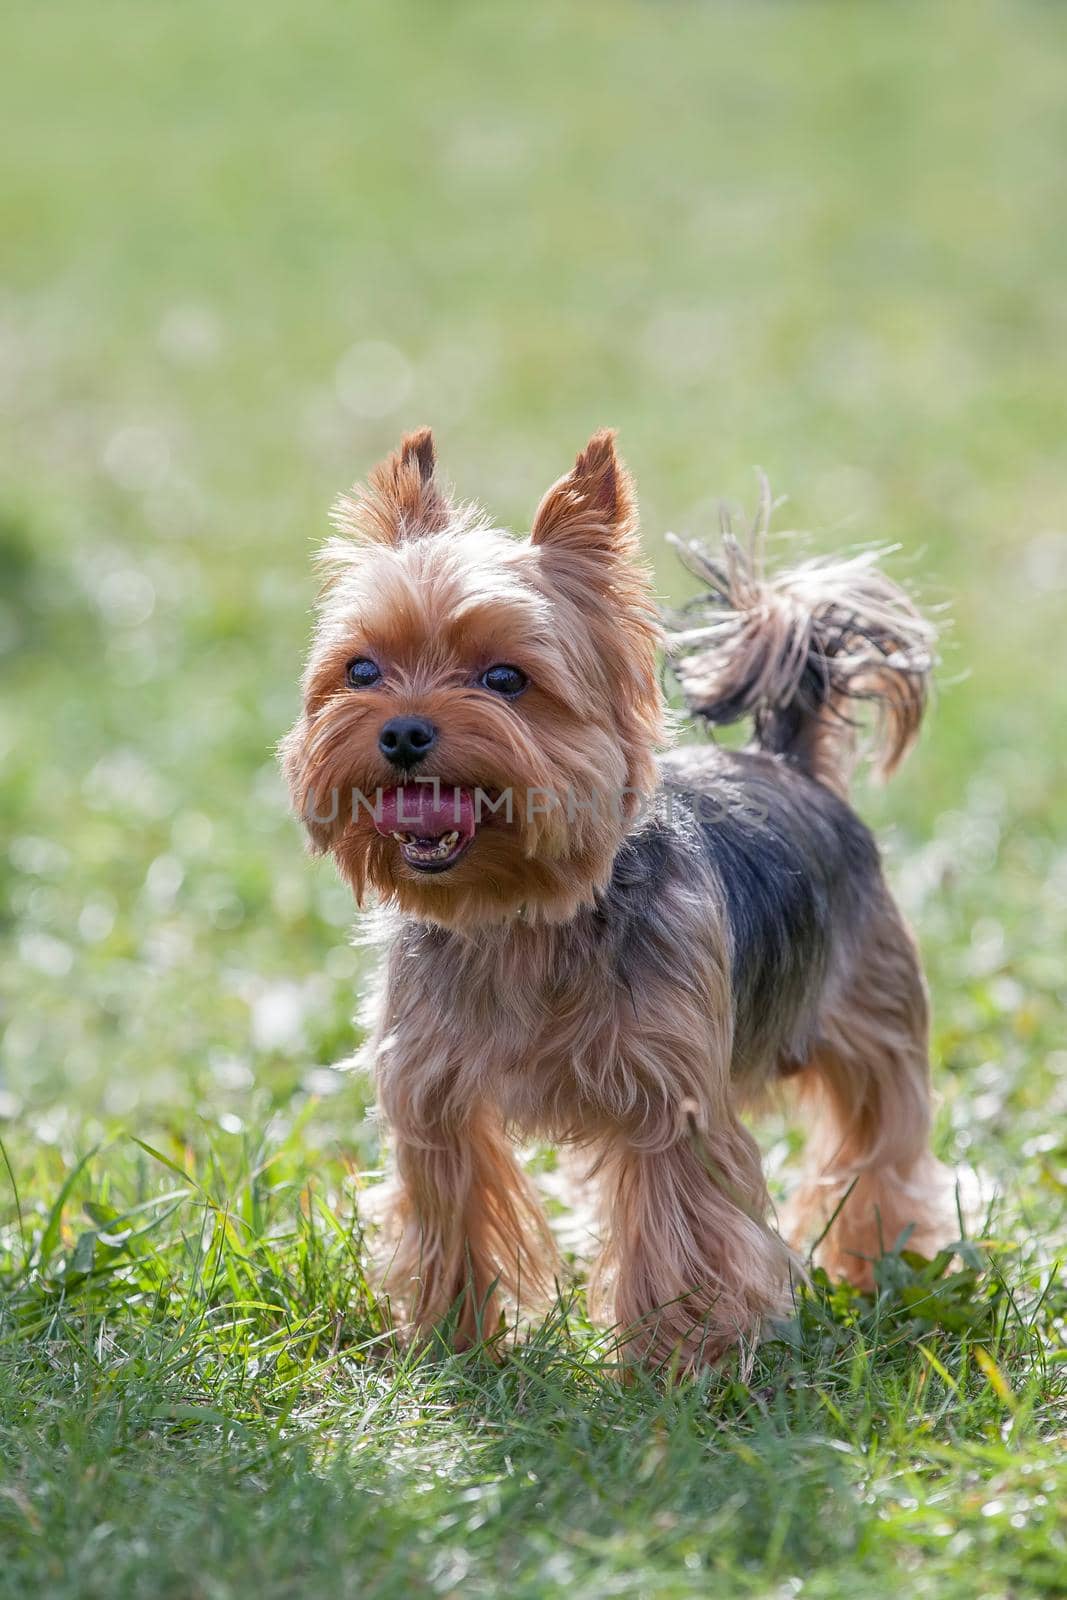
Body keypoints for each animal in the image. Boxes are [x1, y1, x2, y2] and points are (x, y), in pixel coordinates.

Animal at [281, 432, 953, 1369]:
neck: (517, 915)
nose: (403, 732)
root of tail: (787, 762)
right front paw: (453, 1344)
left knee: (878, 1141)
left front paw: (679, 1363)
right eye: (362, 669)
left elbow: (682, 1230)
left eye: (505, 677)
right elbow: (449, 1209)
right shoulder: (430, 1094)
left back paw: (874, 1264)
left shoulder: (670, 1098)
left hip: (874, 1009)